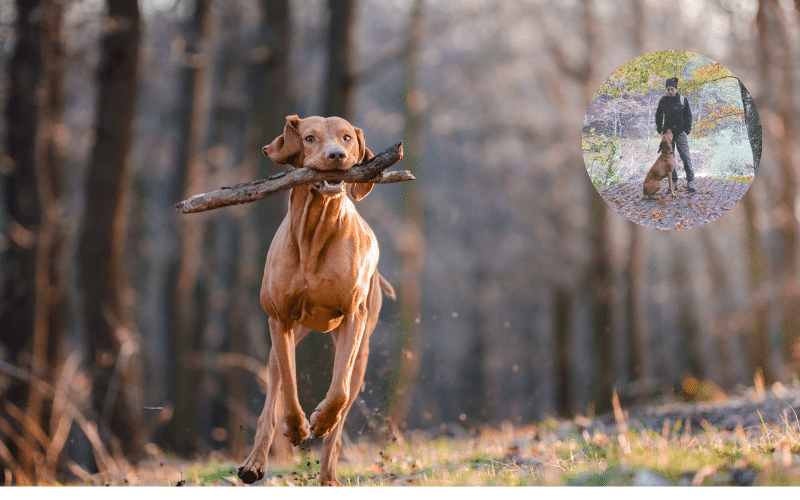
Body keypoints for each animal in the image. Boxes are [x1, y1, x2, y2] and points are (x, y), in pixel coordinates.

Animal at [239, 116, 398, 484]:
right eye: (309, 138)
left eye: (347, 137)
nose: (337, 155)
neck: (316, 230)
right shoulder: (279, 320)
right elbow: (289, 385)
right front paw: (297, 428)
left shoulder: (353, 317)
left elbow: (338, 393)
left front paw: (320, 421)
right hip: (282, 341)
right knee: (272, 398)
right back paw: (255, 463)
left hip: (361, 353)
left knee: (342, 408)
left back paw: (328, 475)